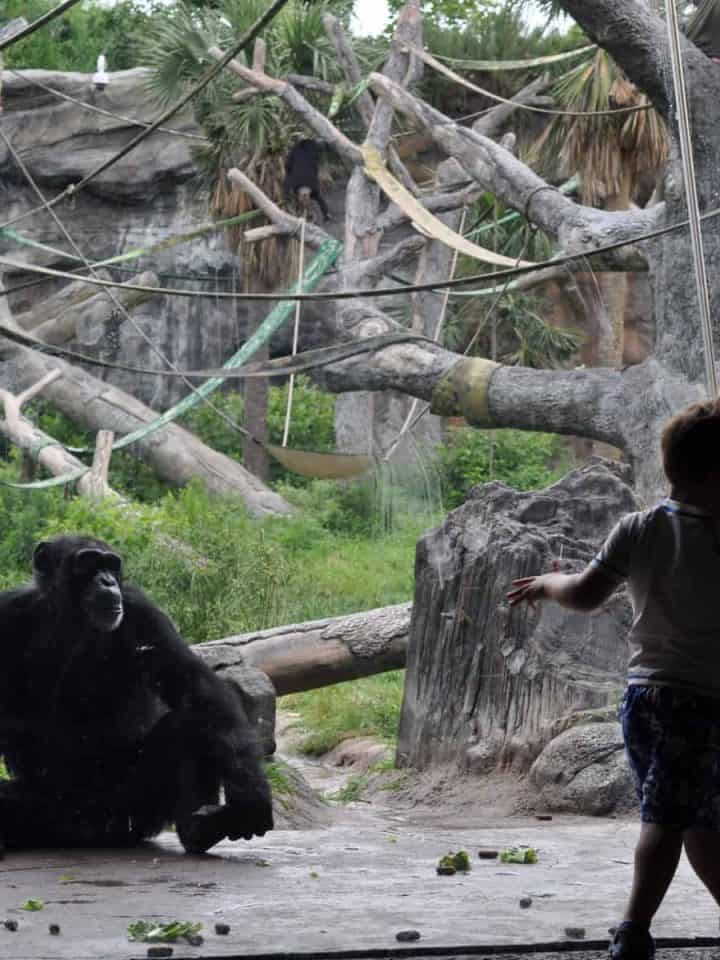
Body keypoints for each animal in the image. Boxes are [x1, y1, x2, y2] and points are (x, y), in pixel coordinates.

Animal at [0, 532, 272, 856]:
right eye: (88, 562)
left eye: (111, 565)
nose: (107, 581)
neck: (68, 618)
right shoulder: (6, 612)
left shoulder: (142, 610)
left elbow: (196, 684)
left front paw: (250, 797)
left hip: (134, 809)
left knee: (190, 721)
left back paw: (200, 828)